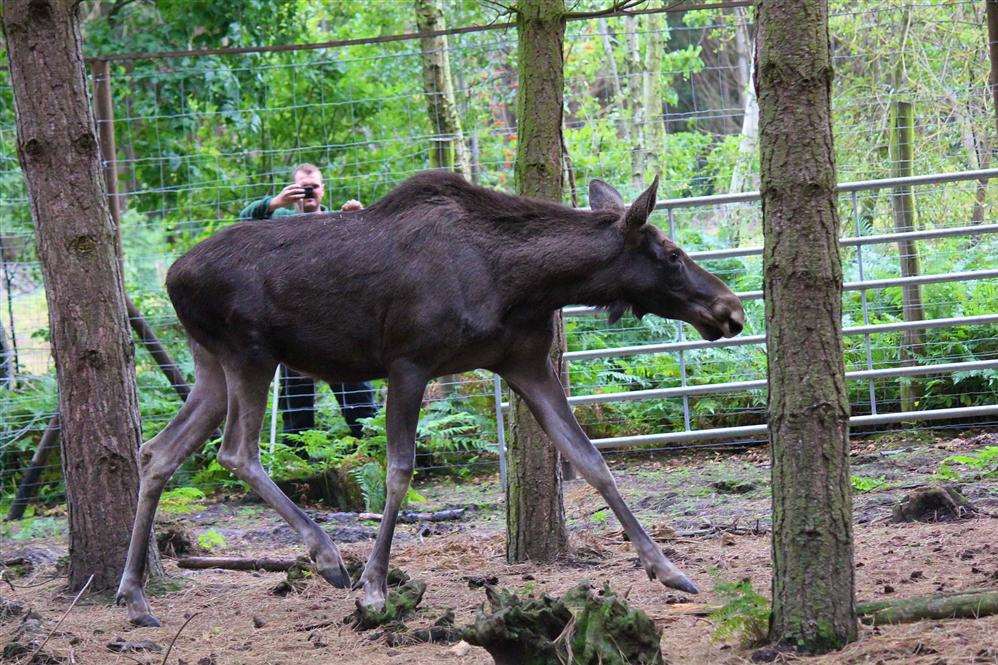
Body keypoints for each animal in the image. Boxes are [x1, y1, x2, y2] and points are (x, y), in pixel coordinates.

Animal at [115, 169, 744, 624]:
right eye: (671, 254)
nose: (732, 310)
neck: (523, 282)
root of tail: (170, 277)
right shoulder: (408, 362)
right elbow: (398, 470)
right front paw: (373, 586)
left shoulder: (524, 363)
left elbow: (591, 461)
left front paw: (666, 568)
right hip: (250, 353)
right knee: (236, 452)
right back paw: (327, 556)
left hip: (210, 365)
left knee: (158, 452)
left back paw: (135, 595)